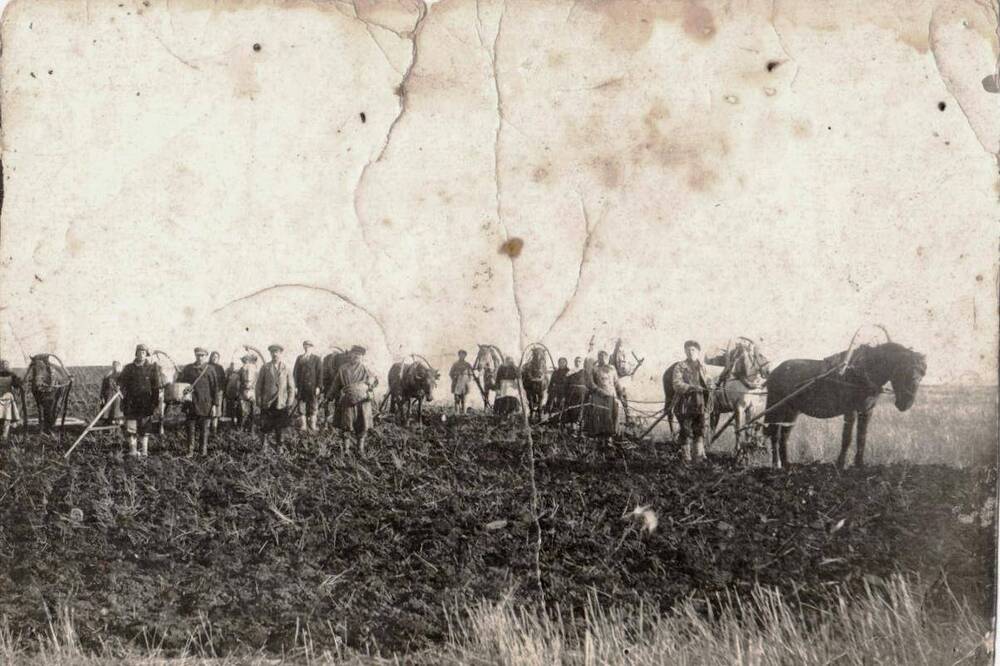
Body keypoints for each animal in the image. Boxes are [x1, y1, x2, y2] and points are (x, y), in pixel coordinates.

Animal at [764, 342, 928, 466]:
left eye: (922, 374)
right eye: (904, 371)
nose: (906, 404)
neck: (863, 372)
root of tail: (774, 372)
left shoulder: (867, 411)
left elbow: (862, 437)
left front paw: (859, 464)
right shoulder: (851, 411)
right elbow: (847, 438)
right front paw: (841, 463)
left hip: (792, 411)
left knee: (784, 435)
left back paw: (787, 464)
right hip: (778, 408)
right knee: (775, 435)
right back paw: (776, 464)